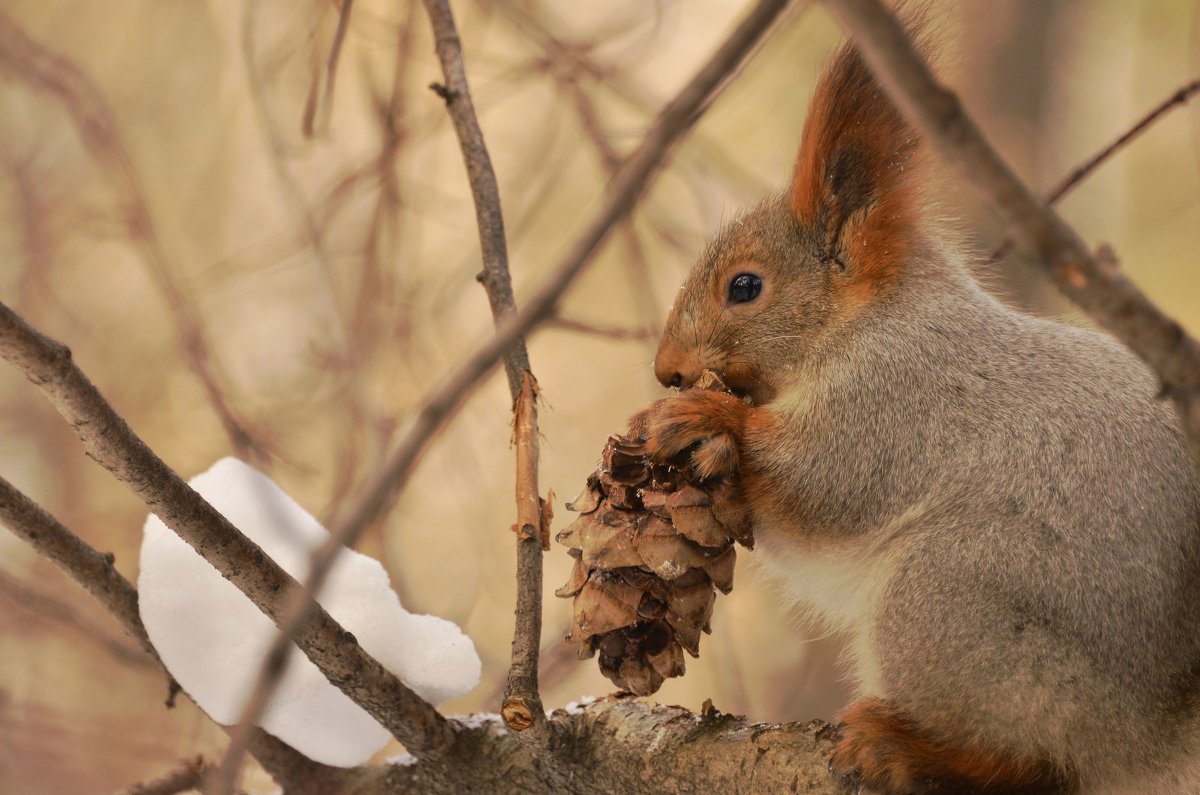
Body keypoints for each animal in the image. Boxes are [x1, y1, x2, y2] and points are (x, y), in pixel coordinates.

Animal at [643, 28, 1200, 792]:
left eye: (746, 286)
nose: (667, 369)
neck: (864, 320)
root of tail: (1144, 742)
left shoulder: (900, 395)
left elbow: (823, 484)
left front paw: (704, 419)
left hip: (945, 604)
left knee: (1035, 761)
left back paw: (906, 748)